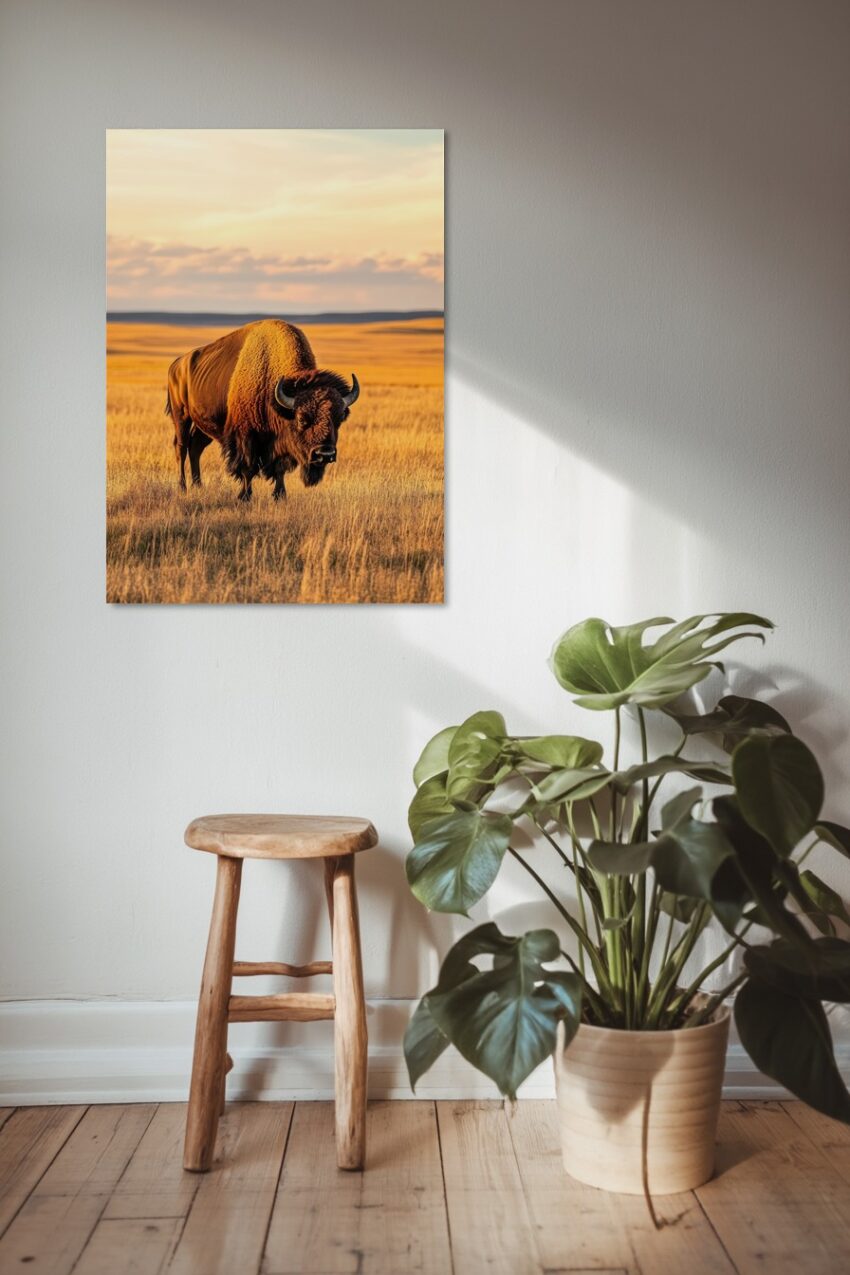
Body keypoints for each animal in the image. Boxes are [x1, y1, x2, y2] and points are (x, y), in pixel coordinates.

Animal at [166, 319, 360, 502]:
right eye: (301, 418)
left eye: (339, 419)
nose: (325, 454)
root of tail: (177, 364)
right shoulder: (245, 436)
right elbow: (247, 468)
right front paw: (244, 496)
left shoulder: (279, 443)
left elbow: (280, 468)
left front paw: (280, 495)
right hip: (181, 415)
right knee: (181, 447)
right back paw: (183, 487)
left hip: (204, 426)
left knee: (195, 448)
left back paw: (198, 486)